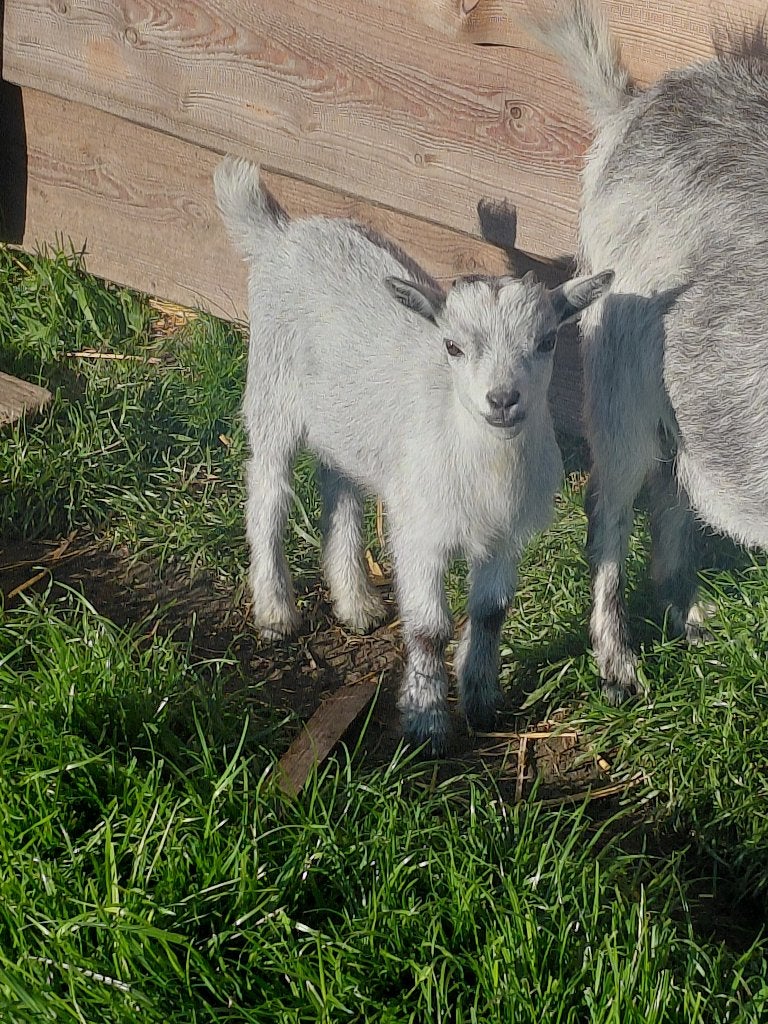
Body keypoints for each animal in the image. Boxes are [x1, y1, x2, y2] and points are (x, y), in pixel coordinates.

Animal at [214, 156, 612, 750]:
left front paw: (482, 701)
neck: (485, 464)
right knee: (268, 493)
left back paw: (356, 603)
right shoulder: (421, 531)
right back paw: (276, 612)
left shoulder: (505, 534)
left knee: (340, 487)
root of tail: (281, 234)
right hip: (272, 387)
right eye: (452, 346)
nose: (502, 400)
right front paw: (426, 721)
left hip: (346, 423)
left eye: (546, 342)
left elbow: (490, 613)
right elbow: (428, 629)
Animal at [528, 0, 768, 702]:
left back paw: (683, 609)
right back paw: (618, 663)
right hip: (620, 377)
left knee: (672, 484)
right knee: (610, 505)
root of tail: (634, 105)